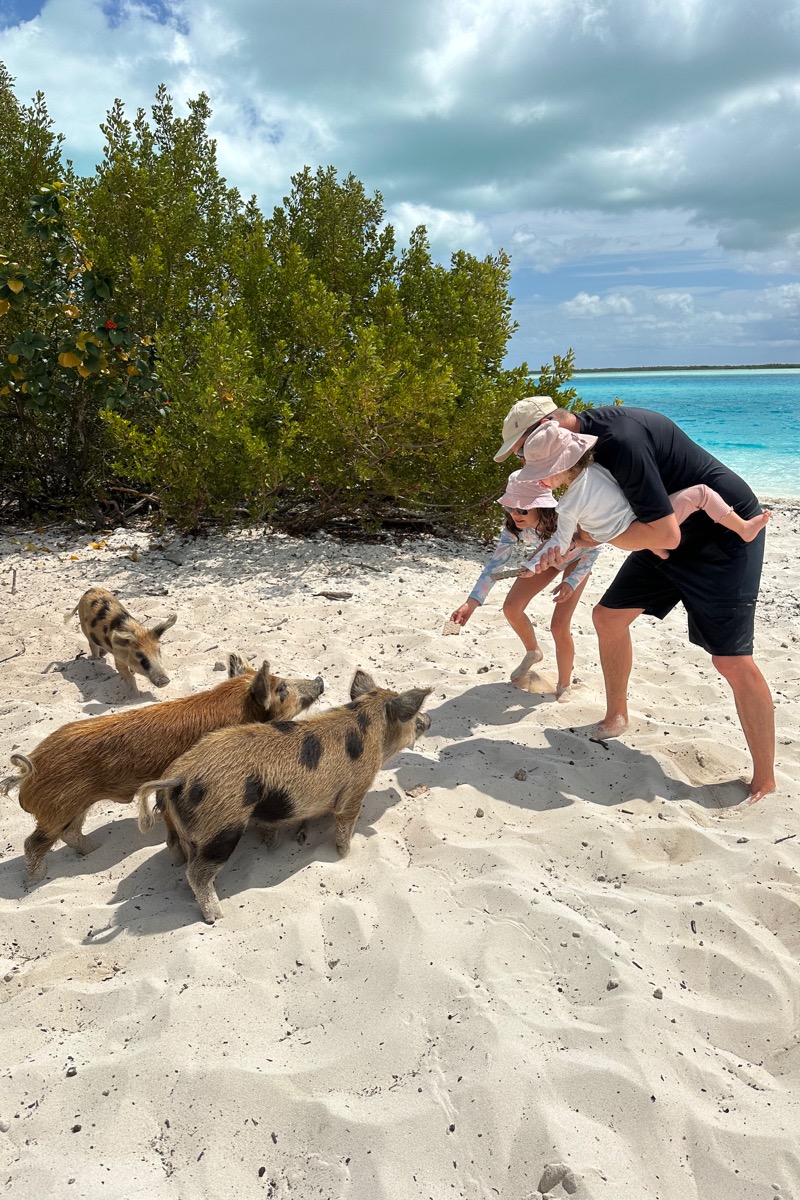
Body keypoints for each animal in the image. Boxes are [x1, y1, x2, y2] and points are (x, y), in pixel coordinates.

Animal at [0, 654, 324, 883]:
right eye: (281, 688)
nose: (320, 679)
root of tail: (28, 772)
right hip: (58, 808)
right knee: (33, 843)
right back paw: (35, 881)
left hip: (74, 806)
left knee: (70, 834)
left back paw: (95, 850)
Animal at [135, 669, 431, 923]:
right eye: (414, 716)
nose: (428, 720)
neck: (372, 730)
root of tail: (180, 776)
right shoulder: (354, 792)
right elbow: (345, 825)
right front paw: (347, 854)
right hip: (222, 826)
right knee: (197, 873)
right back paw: (216, 917)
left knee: (179, 854)